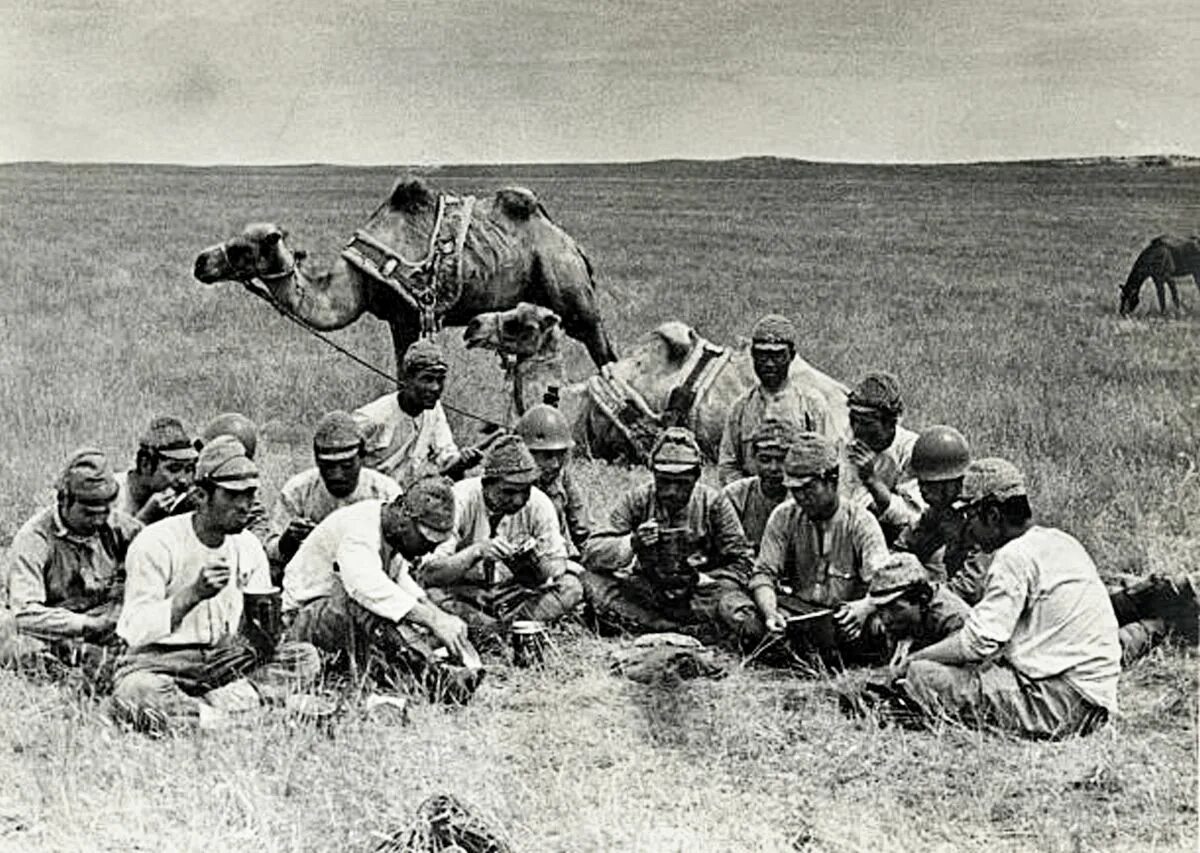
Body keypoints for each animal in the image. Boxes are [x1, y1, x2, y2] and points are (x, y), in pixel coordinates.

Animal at [193, 175, 619, 371]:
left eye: (241, 249)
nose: (200, 262)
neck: (356, 282)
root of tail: (571, 244)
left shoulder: (407, 316)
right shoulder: (400, 320)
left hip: (567, 285)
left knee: (602, 349)